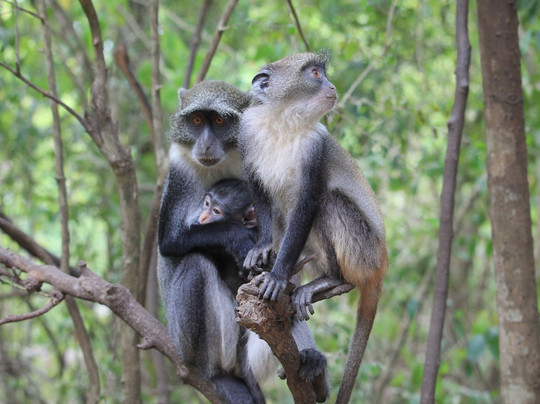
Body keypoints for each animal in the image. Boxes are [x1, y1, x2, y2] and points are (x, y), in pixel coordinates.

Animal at [238, 52, 388, 404]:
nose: (332, 86)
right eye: (316, 74)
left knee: (329, 202)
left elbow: (308, 202)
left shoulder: (314, 149)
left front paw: (276, 276)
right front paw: (262, 249)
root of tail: (381, 266)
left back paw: (332, 280)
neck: (283, 123)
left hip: (364, 251)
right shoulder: (248, 132)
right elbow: (258, 188)